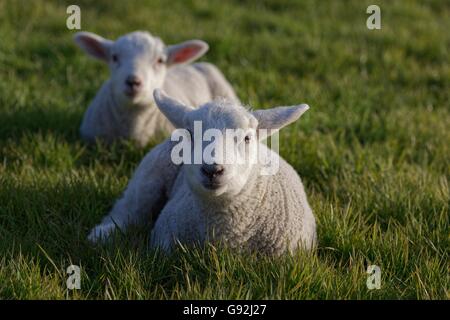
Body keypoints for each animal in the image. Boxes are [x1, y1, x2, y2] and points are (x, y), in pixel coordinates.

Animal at [89, 89, 316, 255]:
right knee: (129, 210)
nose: (212, 170)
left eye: (247, 138)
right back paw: (102, 235)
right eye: (191, 133)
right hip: (148, 177)